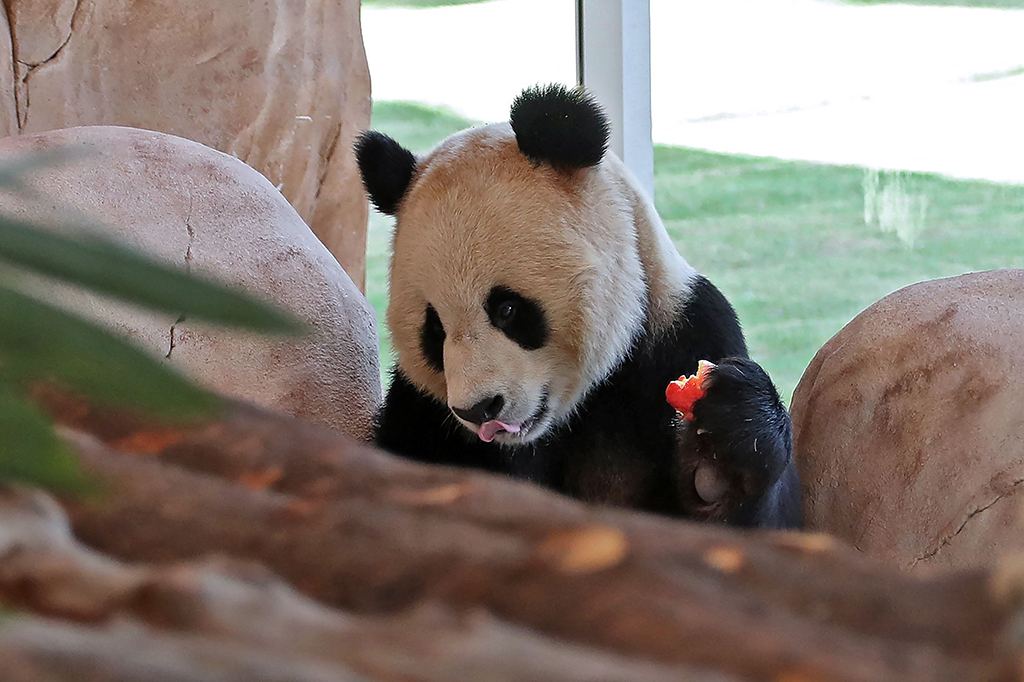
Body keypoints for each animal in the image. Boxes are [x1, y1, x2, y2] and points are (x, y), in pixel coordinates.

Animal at [355, 84, 801, 528]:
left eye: (507, 310)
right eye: (434, 330)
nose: (479, 409)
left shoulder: (688, 330)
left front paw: (719, 461)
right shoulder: (423, 410)